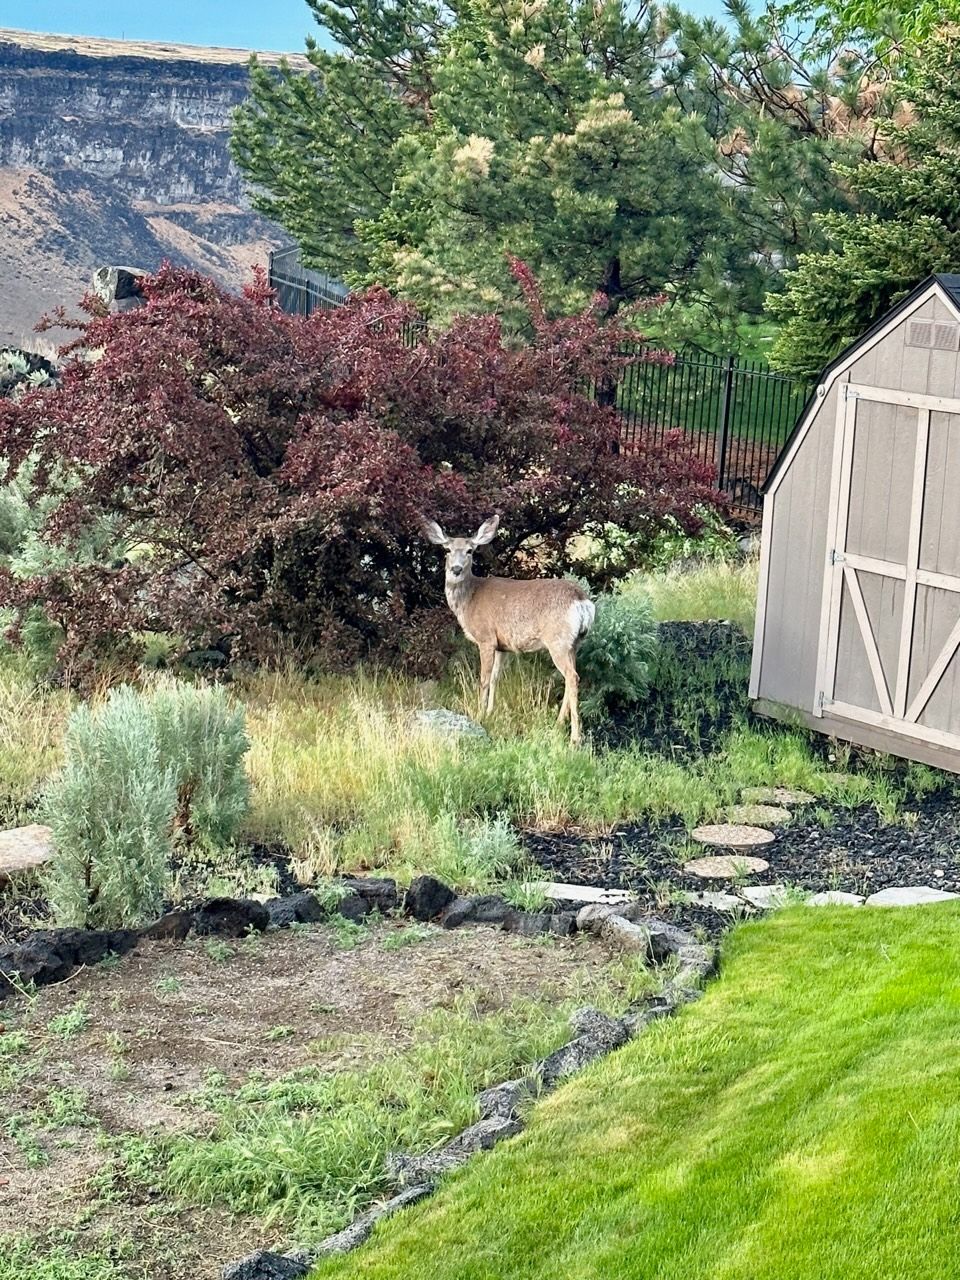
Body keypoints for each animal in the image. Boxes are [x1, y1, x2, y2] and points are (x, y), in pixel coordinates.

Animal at [420, 514, 595, 745]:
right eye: (447, 549)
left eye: (470, 550)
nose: (456, 569)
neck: (469, 600)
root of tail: (582, 601)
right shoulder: (502, 646)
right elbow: (496, 677)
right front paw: (490, 712)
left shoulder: (486, 638)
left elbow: (484, 679)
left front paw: (479, 714)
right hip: (575, 643)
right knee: (571, 676)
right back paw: (558, 724)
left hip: (558, 640)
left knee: (572, 677)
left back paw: (575, 737)